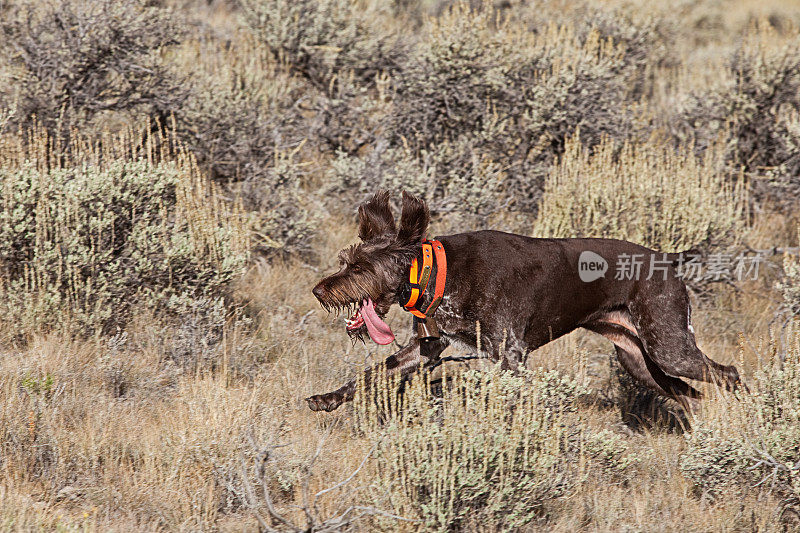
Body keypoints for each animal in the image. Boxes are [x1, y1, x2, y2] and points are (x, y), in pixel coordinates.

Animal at [304, 190, 736, 412]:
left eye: (361, 267)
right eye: (345, 260)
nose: (319, 290)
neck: (440, 273)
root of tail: (668, 259)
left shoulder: (510, 355)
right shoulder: (427, 348)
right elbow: (369, 374)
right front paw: (328, 398)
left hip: (669, 348)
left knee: (728, 375)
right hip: (640, 361)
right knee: (693, 395)